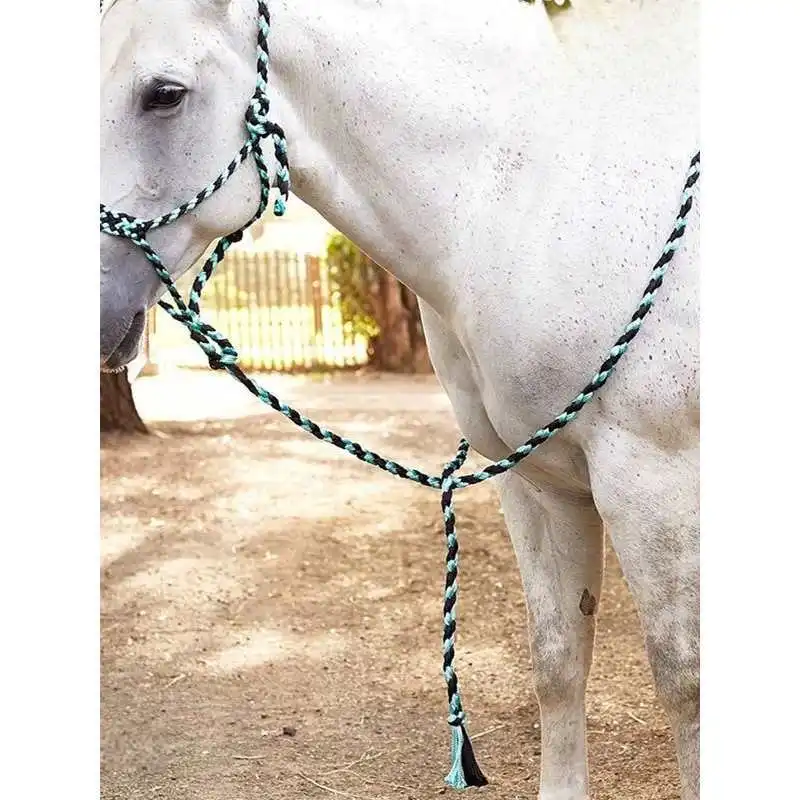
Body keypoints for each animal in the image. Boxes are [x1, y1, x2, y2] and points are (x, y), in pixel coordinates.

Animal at [100, 1, 700, 798]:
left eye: (164, 94)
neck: (531, 201)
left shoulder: (652, 481)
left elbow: (683, 681)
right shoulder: (541, 481)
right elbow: (558, 656)